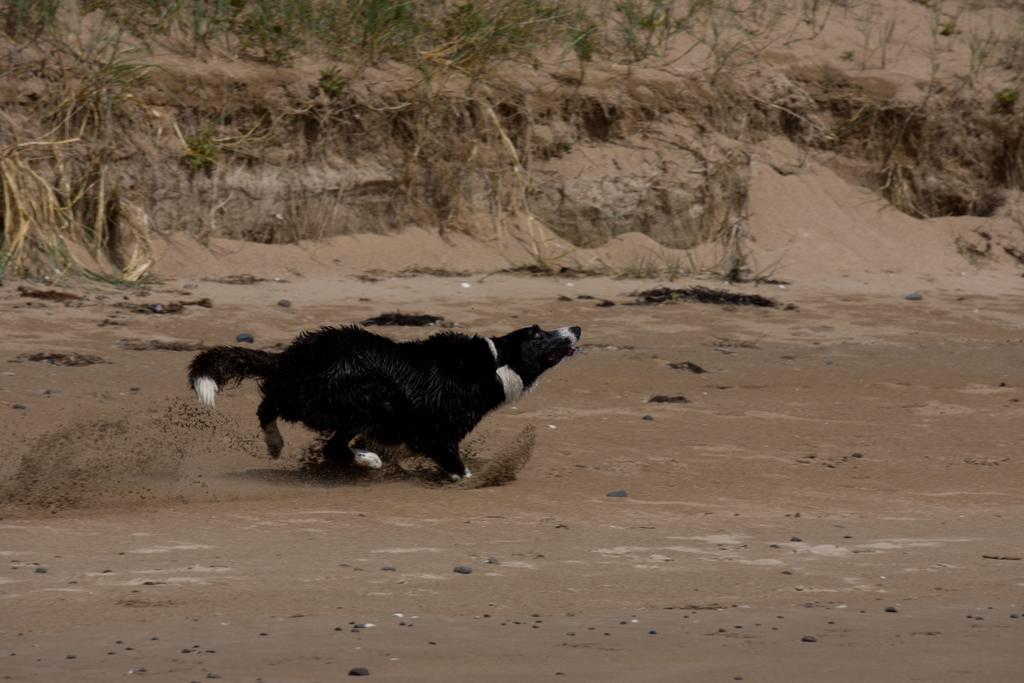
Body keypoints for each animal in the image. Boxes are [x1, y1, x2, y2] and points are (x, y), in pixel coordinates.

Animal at [188, 325, 581, 481]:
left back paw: (275, 444)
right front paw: (477, 479)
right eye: (537, 333)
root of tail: (294, 358)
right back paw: (366, 460)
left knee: (268, 408)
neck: (495, 363)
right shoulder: (438, 434)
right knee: (332, 446)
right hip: (370, 397)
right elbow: (457, 466)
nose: (575, 328)